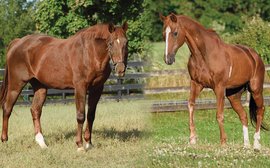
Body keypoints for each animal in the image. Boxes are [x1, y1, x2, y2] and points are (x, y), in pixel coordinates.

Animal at [0, 21, 129, 152]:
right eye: (111, 43)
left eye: (126, 42)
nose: (120, 69)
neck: (89, 52)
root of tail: (17, 42)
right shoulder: (80, 87)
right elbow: (81, 115)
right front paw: (80, 145)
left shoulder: (97, 89)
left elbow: (91, 116)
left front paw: (89, 143)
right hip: (16, 85)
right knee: (7, 108)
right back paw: (5, 140)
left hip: (40, 87)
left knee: (35, 110)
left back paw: (42, 143)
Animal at [160, 13, 268, 151]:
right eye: (164, 33)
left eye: (175, 33)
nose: (168, 59)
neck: (205, 54)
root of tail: (255, 56)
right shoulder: (196, 84)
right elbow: (190, 105)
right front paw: (192, 139)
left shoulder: (219, 87)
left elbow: (219, 114)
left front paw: (223, 142)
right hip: (233, 95)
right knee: (243, 115)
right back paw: (246, 145)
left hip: (256, 89)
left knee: (260, 111)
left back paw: (256, 144)